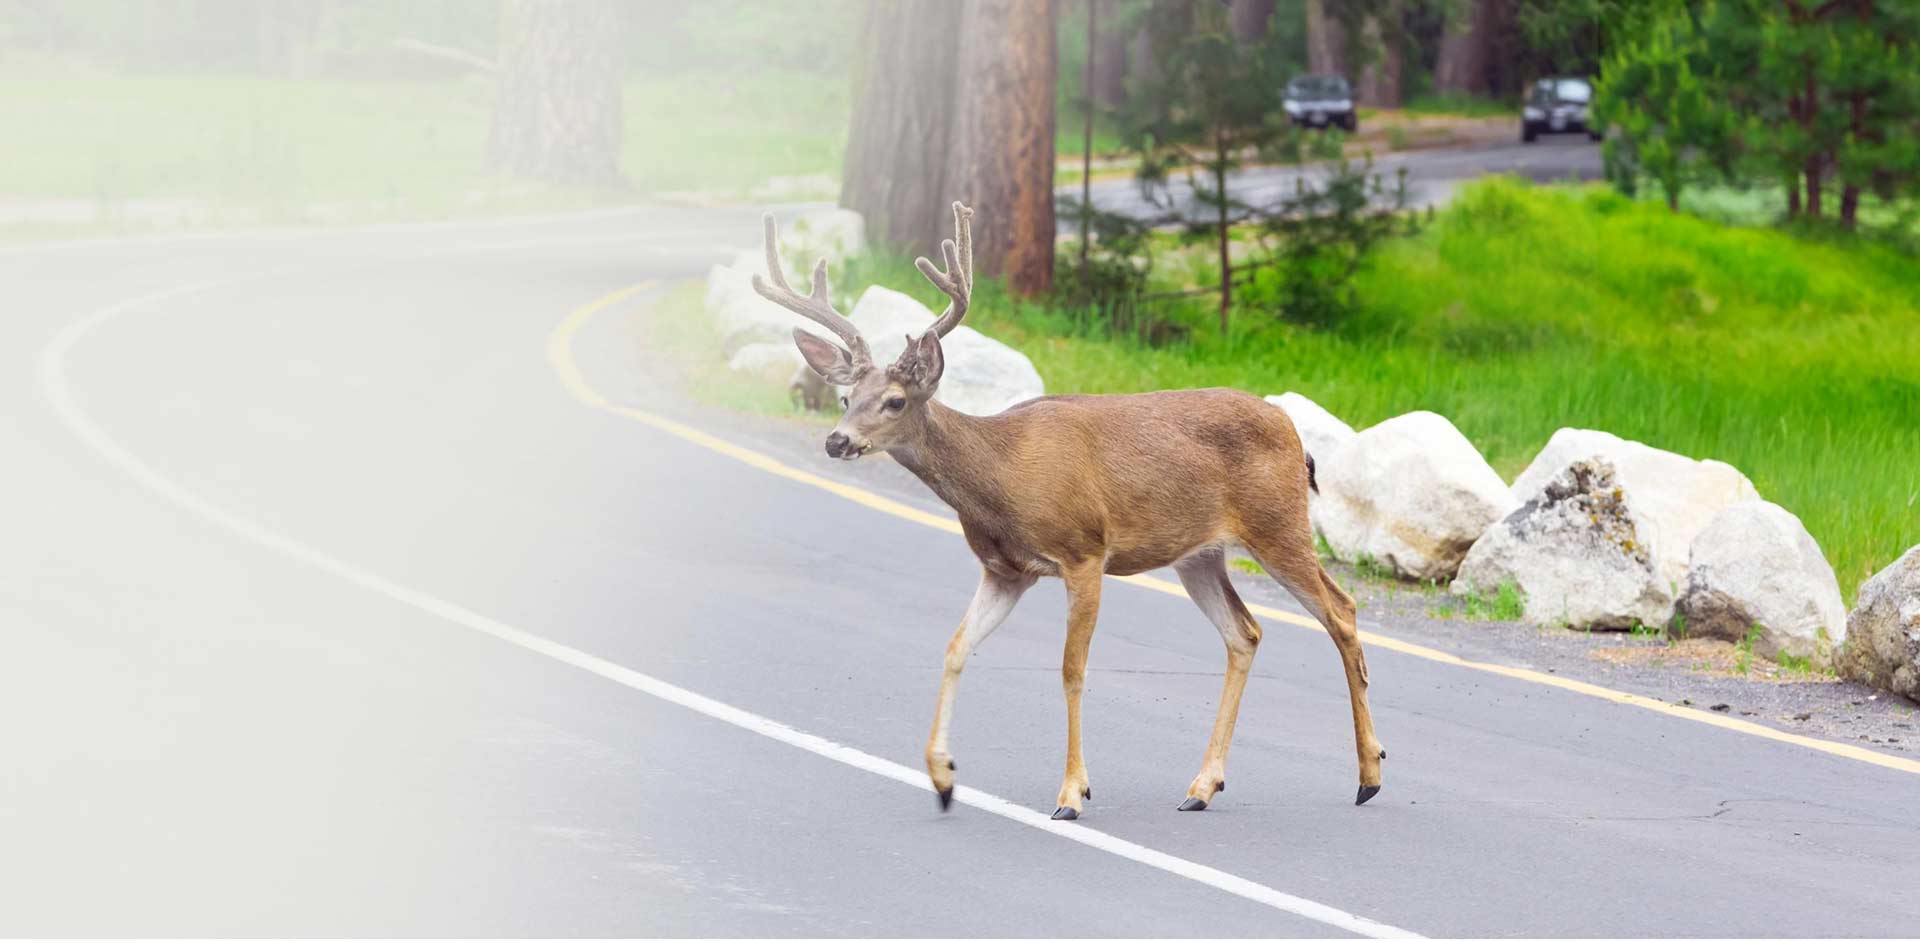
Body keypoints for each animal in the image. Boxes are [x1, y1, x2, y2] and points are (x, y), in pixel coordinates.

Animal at [748, 202, 1382, 818]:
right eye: (845, 397)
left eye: (895, 401)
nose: (836, 441)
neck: (1001, 478)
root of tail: (1295, 435)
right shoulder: (1005, 570)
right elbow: (955, 648)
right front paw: (943, 778)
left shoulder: (1084, 552)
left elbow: (1071, 669)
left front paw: (1072, 794)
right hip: (1198, 555)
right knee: (1245, 632)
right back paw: (1203, 786)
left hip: (1277, 523)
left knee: (1342, 611)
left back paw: (1368, 776)